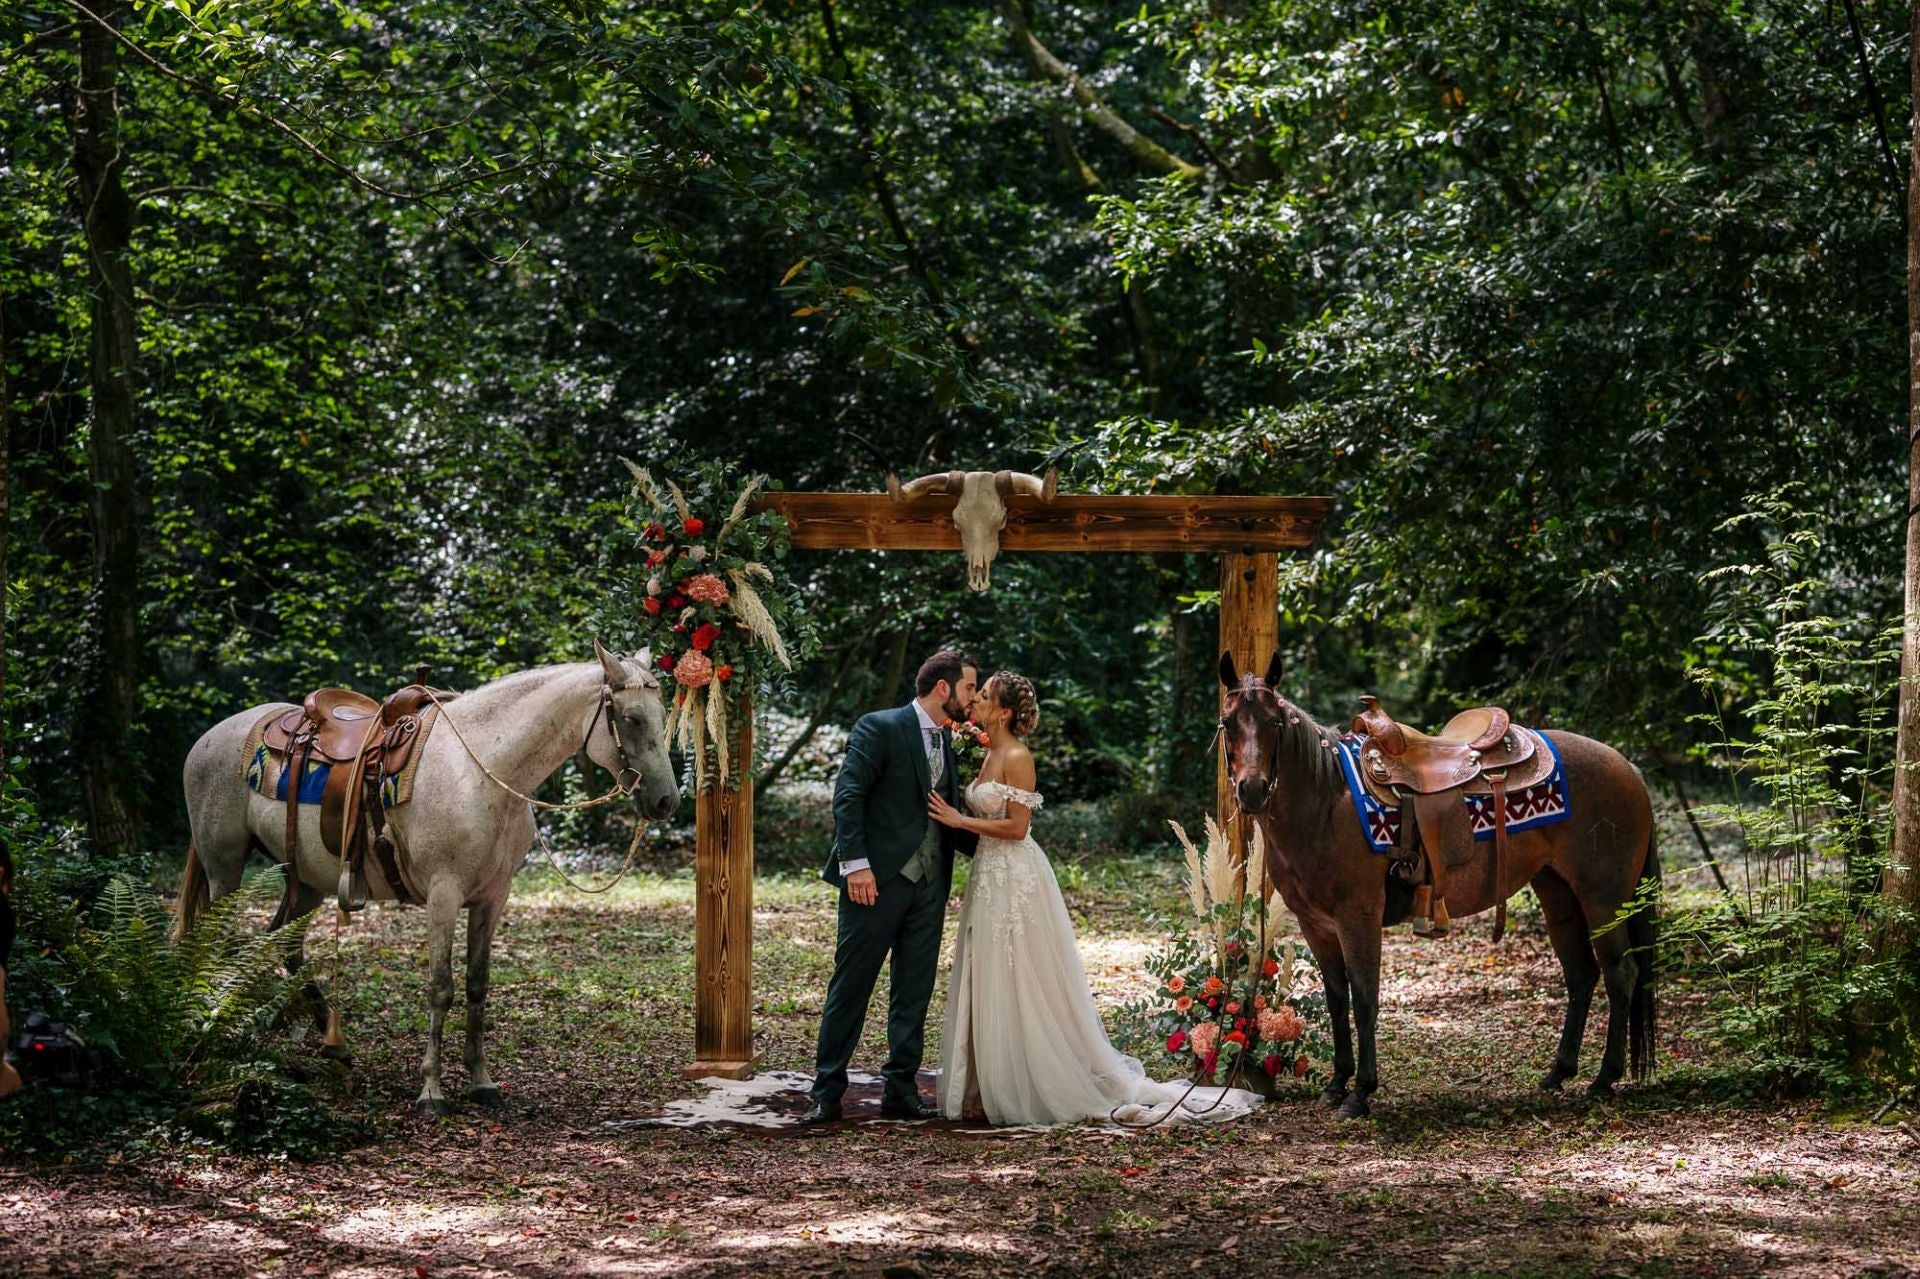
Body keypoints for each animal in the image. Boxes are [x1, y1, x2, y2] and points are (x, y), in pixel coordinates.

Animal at [174, 641, 683, 1113]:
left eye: (661, 714)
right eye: (631, 718)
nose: (666, 802)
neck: (481, 770)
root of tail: (206, 738)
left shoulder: (492, 897)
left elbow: (477, 984)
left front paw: (482, 1082)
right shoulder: (443, 894)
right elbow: (442, 988)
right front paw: (432, 1091)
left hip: (306, 880)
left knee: (280, 942)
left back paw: (331, 1041)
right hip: (225, 868)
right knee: (226, 946)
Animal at [1213, 652, 1651, 1113]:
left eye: (1273, 721)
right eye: (1228, 721)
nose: (1253, 790)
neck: (1325, 803)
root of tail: (1628, 769)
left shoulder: (1358, 917)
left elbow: (1364, 998)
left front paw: (1361, 1091)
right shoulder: (1316, 925)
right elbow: (1335, 999)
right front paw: (1336, 1085)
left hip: (1603, 899)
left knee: (1620, 973)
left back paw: (1604, 1078)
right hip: (1558, 893)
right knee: (1582, 974)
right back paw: (1558, 1073)